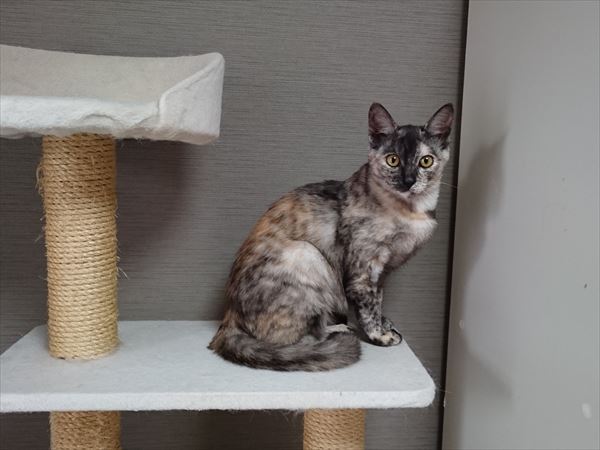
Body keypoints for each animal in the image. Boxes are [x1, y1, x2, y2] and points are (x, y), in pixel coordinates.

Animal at [209, 102, 453, 371]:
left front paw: (384, 323)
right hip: (308, 255)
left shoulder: (383, 271)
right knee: (299, 336)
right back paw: (339, 329)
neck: (411, 212)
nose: (408, 181)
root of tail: (228, 316)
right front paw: (379, 335)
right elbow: (367, 306)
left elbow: (378, 299)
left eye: (426, 161)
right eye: (393, 160)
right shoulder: (363, 269)